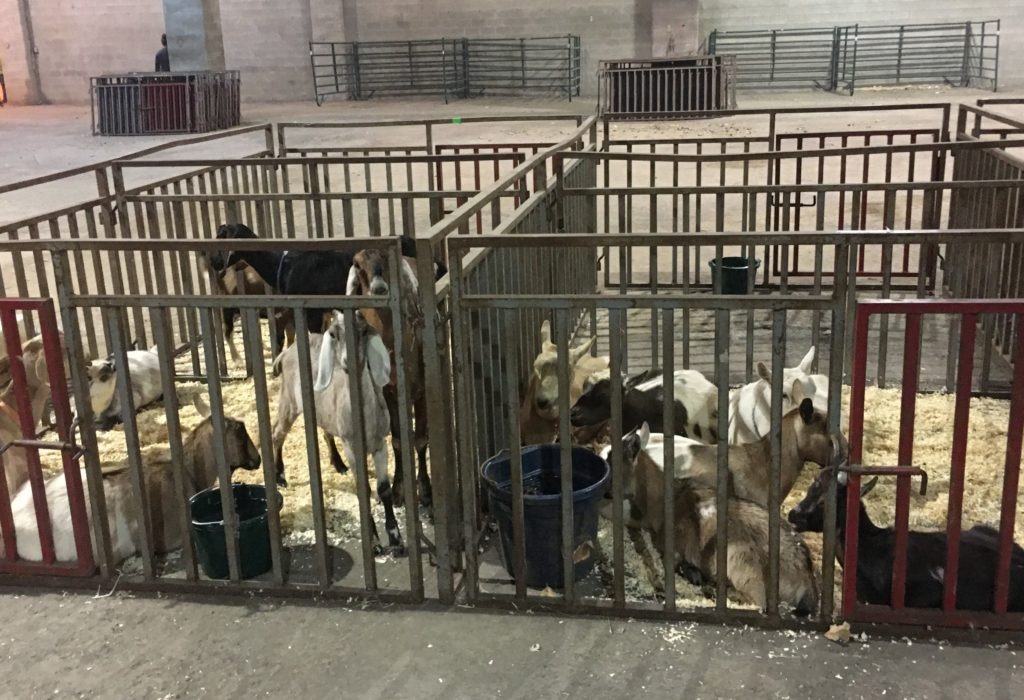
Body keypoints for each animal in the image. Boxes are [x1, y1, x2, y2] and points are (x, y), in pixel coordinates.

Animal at [270, 309, 401, 556]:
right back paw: (279, 475)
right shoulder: (352, 447)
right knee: (277, 433)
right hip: (289, 401)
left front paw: (395, 536)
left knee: (324, 432)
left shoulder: (380, 444)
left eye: (363, 331)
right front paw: (374, 542)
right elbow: (363, 491)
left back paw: (337, 463)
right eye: (333, 334)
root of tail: (286, 353)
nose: (349, 361)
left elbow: (384, 489)